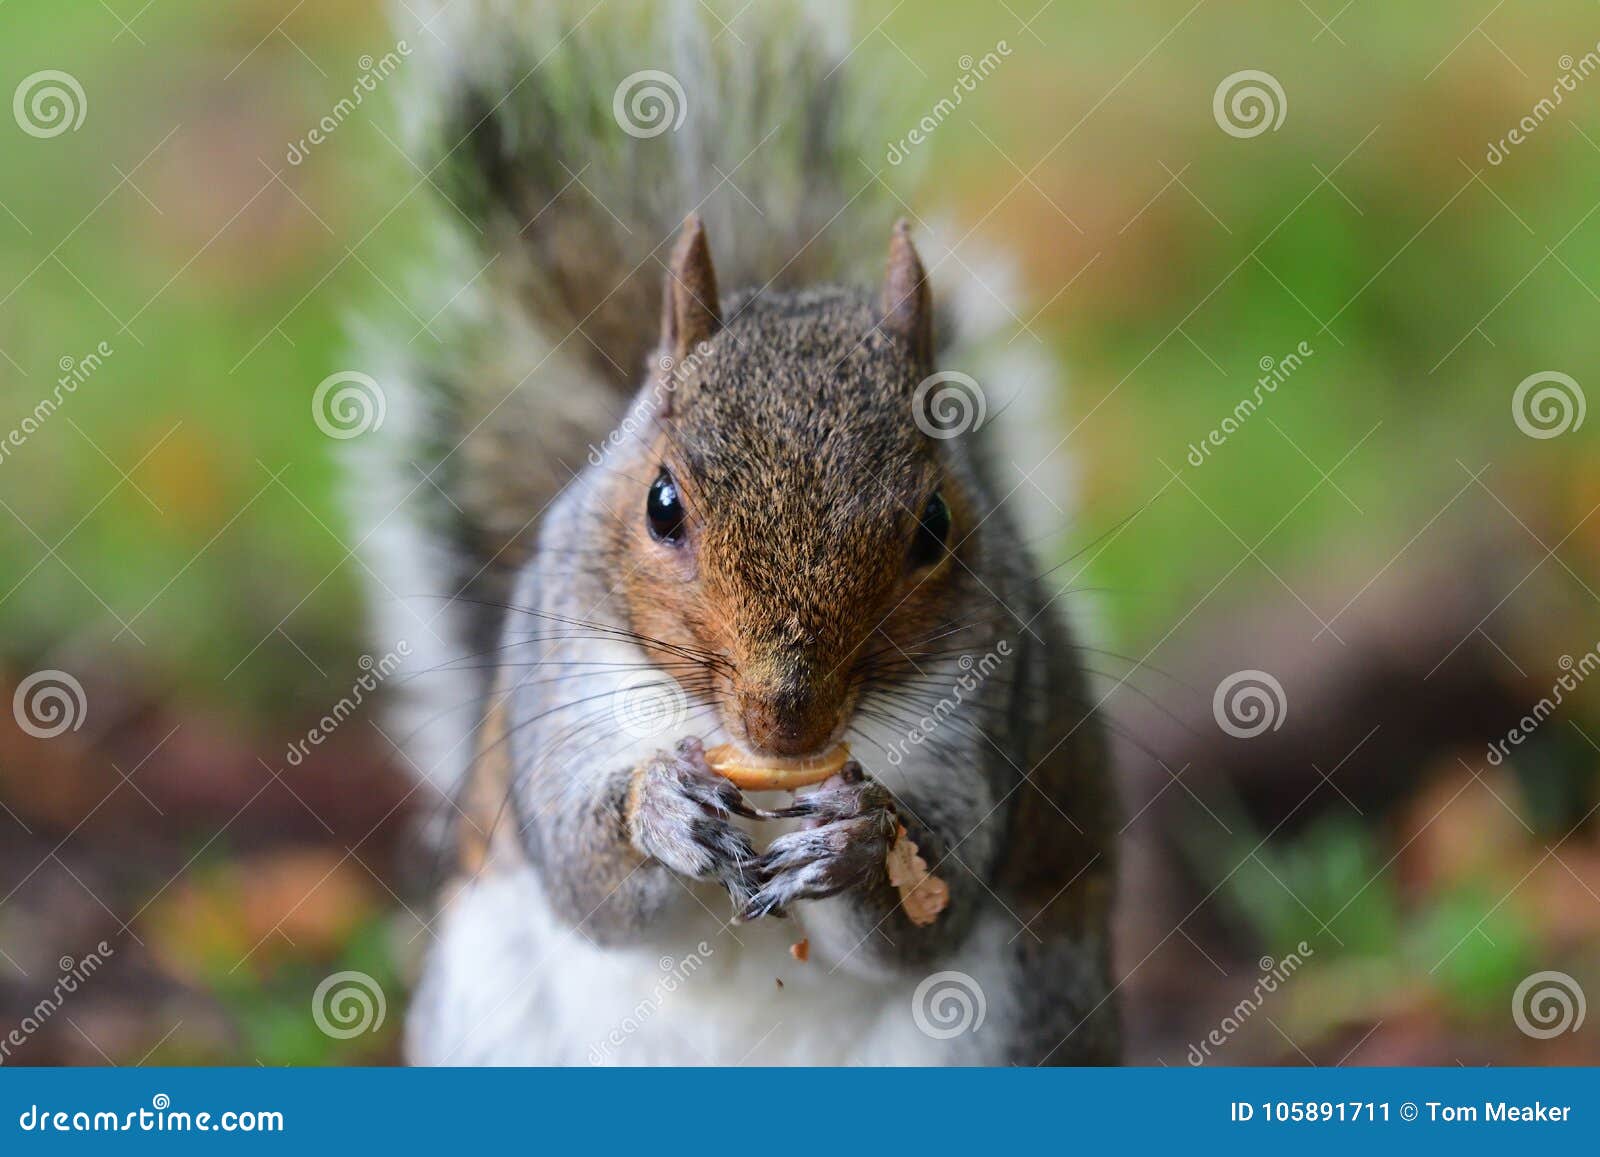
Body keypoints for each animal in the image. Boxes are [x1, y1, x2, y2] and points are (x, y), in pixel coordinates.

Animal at [350, 0, 1118, 1065]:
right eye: (661, 504)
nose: (783, 717)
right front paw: (660, 809)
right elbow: (587, 878)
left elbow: (936, 901)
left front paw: (856, 834)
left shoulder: (981, 720)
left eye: (933, 526)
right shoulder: (559, 687)